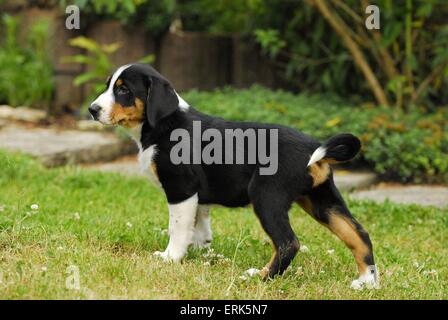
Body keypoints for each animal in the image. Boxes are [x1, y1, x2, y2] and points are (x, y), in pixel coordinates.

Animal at [89, 63, 380, 288]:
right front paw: (201, 253)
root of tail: (314, 148)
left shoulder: (180, 188)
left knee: (288, 243)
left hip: (266, 196)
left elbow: (178, 227)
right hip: (322, 200)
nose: (92, 110)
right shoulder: (197, 196)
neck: (163, 125)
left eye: (123, 90)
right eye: (109, 85)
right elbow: (199, 226)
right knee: (359, 234)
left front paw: (171, 257)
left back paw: (259, 276)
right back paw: (367, 282)